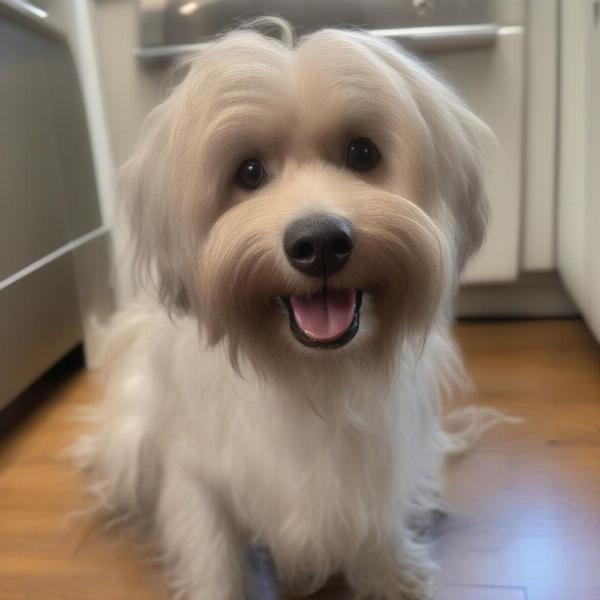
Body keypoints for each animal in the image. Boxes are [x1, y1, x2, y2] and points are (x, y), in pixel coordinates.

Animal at [77, 22, 494, 600]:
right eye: (249, 170)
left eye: (362, 153)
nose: (320, 243)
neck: (311, 372)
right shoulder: (196, 466)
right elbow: (213, 551)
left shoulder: (380, 453)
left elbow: (378, 515)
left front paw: (389, 574)